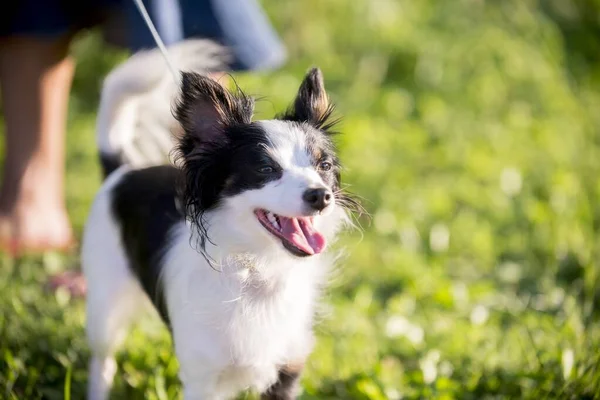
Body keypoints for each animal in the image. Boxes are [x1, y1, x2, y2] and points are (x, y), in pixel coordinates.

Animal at [82, 42, 358, 398]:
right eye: (265, 169)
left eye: (324, 166)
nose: (321, 196)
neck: (257, 272)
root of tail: (123, 170)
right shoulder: (202, 378)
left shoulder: (287, 368)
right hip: (104, 309)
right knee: (103, 361)